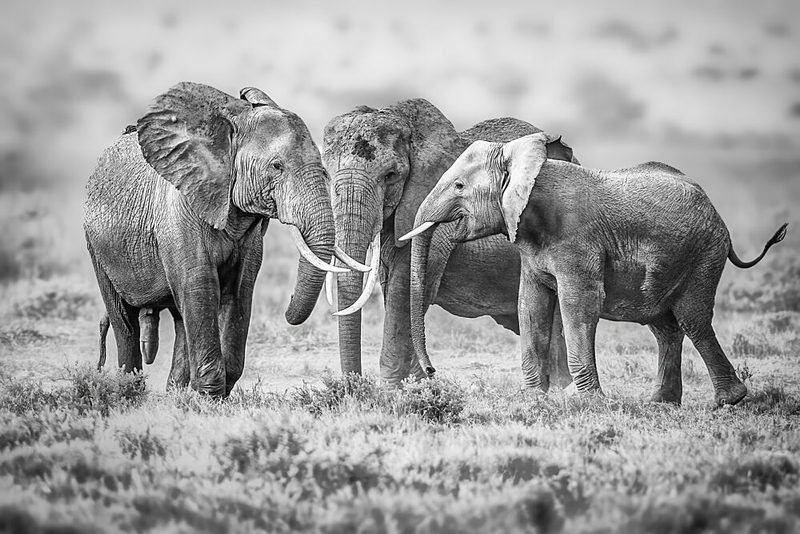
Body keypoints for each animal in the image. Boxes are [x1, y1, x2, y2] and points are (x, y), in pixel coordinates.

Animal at [84, 82, 364, 397]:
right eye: (277, 166)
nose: (288, 305)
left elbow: (238, 291)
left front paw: (212, 396)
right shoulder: (179, 210)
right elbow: (200, 285)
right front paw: (209, 395)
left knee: (180, 319)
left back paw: (175, 394)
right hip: (97, 246)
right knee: (125, 321)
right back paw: (129, 389)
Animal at [321, 99, 576, 386]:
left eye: (390, 175)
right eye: (325, 173)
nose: (351, 383)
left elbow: (404, 289)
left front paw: (396, 388)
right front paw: (416, 384)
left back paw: (563, 387)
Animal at [402, 132, 788, 406]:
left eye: (459, 186)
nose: (432, 372)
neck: (528, 164)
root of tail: (717, 213)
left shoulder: (577, 242)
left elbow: (578, 304)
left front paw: (586, 401)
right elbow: (531, 306)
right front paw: (532, 399)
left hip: (704, 253)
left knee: (693, 318)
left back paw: (729, 401)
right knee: (664, 327)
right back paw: (661, 403)